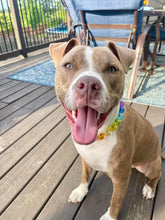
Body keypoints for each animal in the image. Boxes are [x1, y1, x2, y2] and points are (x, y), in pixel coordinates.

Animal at [48, 39, 161, 220]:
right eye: (68, 65)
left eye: (112, 69)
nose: (88, 84)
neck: (100, 135)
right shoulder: (85, 159)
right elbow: (85, 176)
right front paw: (81, 191)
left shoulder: (121, 179)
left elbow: (115, 200)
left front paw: (110, 216)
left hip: (151, 166)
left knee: (157, 176)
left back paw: (149, 188)